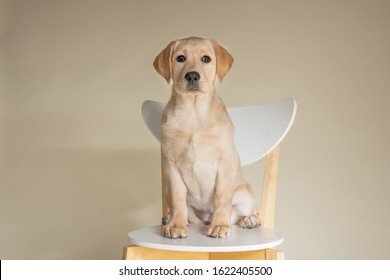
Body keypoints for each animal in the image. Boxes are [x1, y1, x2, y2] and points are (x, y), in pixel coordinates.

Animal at [154, 36, 260, 238]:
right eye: (180, 58)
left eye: (206, 59)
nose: (192, 76)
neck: (194, 113)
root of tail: (206, 216)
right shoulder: (171, 164)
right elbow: (178, 200)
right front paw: (176, 225)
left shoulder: (225, 162)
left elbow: (222, 198)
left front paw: (220, 225)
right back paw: (172, 218)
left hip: (244, 194)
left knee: (242, 213)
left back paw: (249, 220)